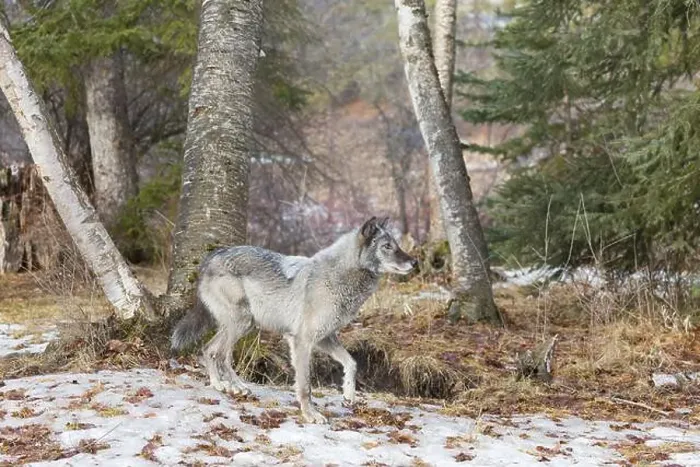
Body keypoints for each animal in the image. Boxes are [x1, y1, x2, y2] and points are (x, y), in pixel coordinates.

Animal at [171, 216, 417, 423]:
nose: (414, 262)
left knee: (209, 350)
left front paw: (349, 394)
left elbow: (352, 363)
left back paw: (224, 385)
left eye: (397, 244)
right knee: (218, 353)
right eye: (387, 247)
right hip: (242, 322)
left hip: (245, 324)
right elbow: (305, 386)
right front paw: (311, 415)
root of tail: (210, 258)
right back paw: (232, 386)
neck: (339, 277)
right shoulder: (302, 341)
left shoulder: (325, 338)